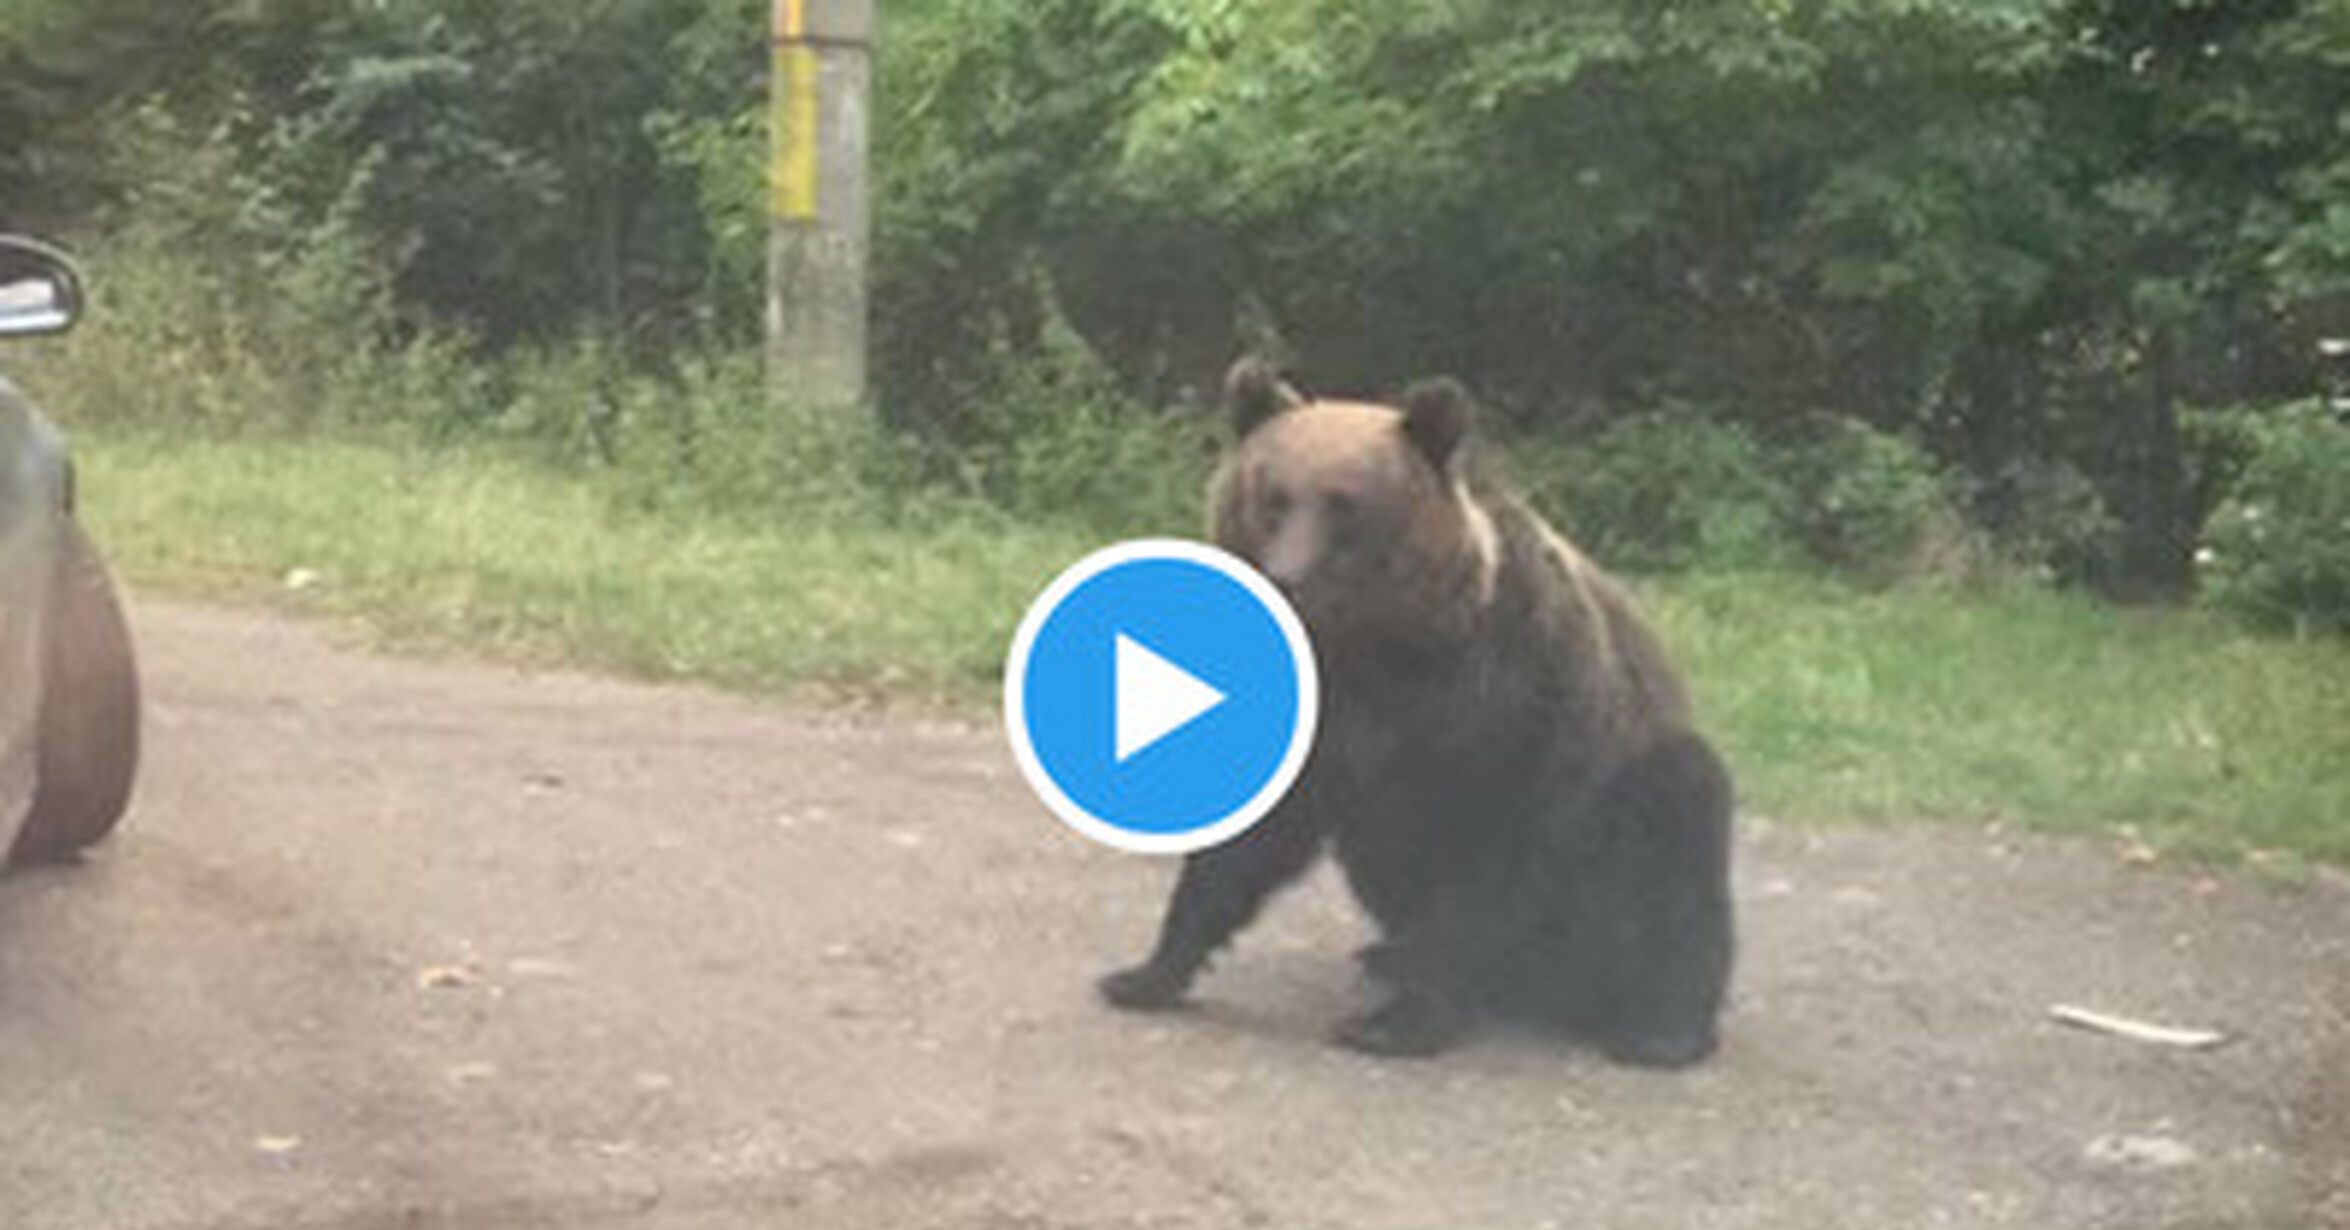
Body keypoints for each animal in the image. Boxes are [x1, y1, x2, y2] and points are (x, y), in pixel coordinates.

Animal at [1097, 358, 1736, 1067]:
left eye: (1344, 503)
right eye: (1273, 496)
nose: (1286, 576)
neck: (1370, 652)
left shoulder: (1501, 711)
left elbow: (1475, 870)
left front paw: (1394, 1025)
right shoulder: (1318, 716)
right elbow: (1244, 841)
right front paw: (1144, 974)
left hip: (1627, 795)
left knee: (1676, 834)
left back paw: (1662, 1025)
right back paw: (1385, 956)